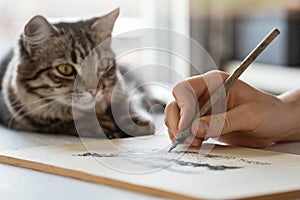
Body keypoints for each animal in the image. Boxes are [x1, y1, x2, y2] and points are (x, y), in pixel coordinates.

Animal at [0, 8, 161, 139]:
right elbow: (66, 122)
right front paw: (100, 125)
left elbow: (126, 106)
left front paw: (135, 122)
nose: (95, 90)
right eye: (66, 69)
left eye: (102, 65)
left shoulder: (125, 89)